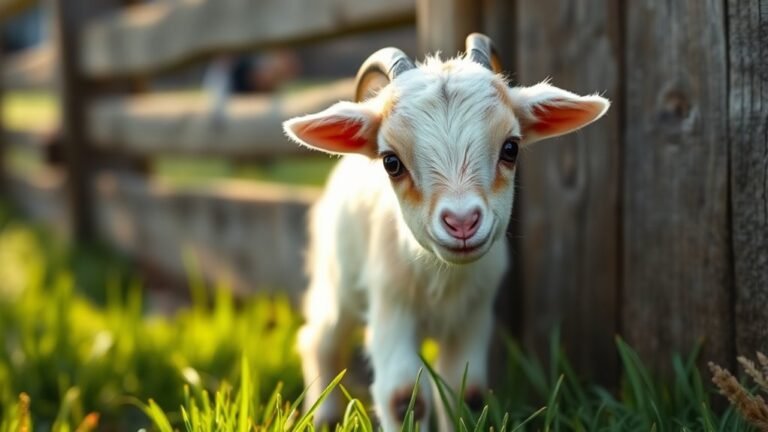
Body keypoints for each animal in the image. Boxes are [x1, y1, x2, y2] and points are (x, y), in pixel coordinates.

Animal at [283, 33, 609, 431]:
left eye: (511, 147)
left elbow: (464, 392)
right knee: (320, 338)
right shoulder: (390, 303)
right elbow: (401, 396)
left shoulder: (475, 313)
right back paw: (324, 415)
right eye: (391, 162)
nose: (462, 221)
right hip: (338, 278)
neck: (440, 278)